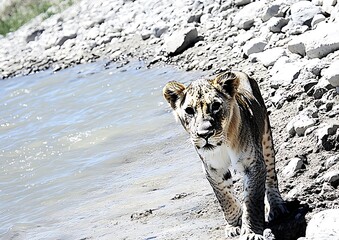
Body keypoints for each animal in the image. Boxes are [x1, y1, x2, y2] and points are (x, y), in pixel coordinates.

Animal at [163, 71, 288, 240]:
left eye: (215, 106)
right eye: (189, 110)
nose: (205, 134)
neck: (223, 143)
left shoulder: (253, 164)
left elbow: (252, 202)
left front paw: (251, 232)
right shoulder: (213, 169)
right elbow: (224, 198)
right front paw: (234, 225)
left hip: (266, 141)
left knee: (271, 176)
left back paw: (276, 206)